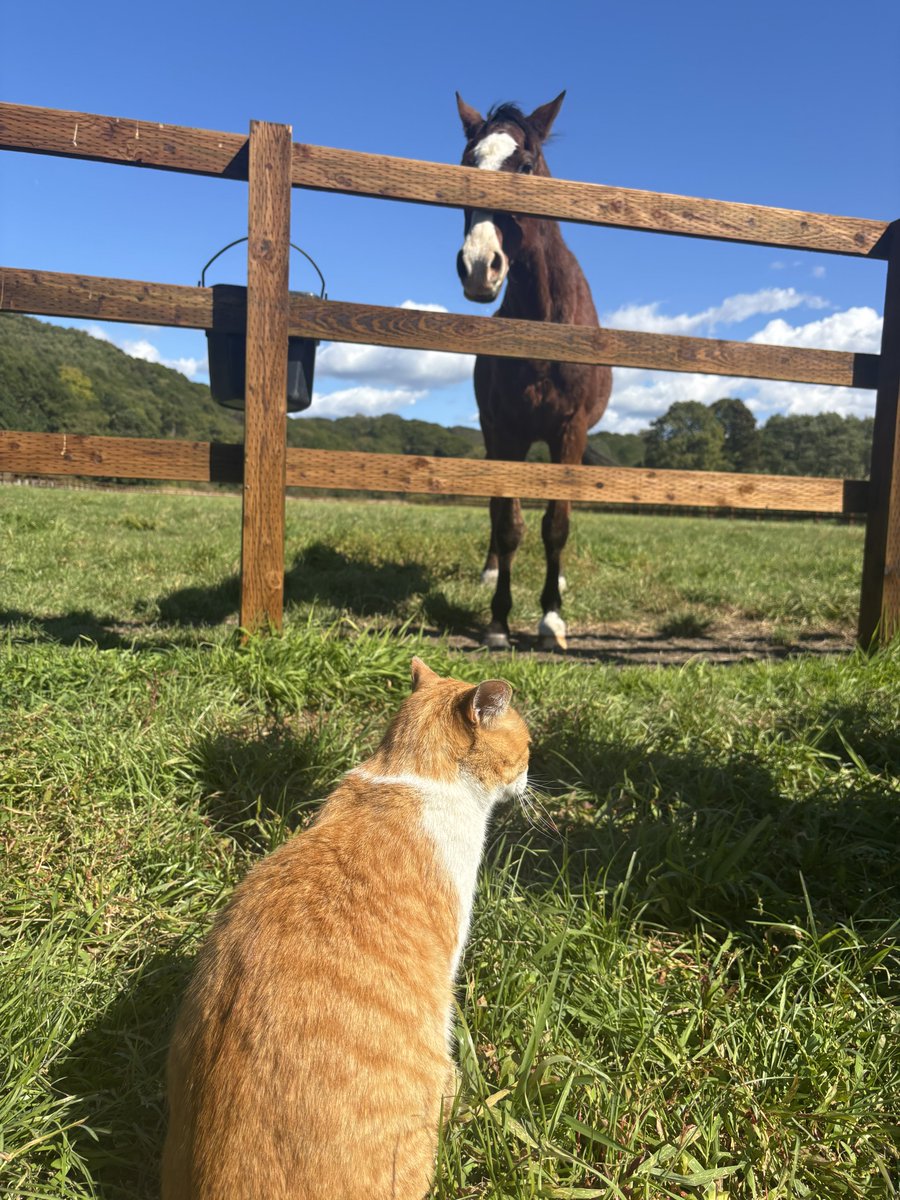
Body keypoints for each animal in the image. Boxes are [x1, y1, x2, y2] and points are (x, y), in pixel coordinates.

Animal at [455, 91, 612, 651]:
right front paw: (499, 621)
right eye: (466, 164)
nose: (479, 266)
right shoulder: (504, 431)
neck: (545, 323)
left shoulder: (570, 431)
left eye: (524, 165)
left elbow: (556, 525)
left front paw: (550, 617)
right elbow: (508, 523)